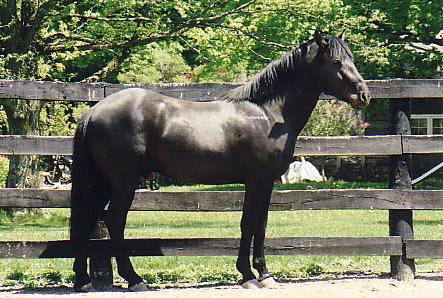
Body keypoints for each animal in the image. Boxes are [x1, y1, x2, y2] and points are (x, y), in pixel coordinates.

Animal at [70, 32, 372, 292]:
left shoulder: (267, 183)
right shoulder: (256, 181)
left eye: (352, 58)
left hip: (104, 182)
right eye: (336, 62)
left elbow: (261, 225)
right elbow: (248, 224)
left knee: (88, 217)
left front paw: (265, 274)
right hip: (123, 182)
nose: (364, 95)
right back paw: (134, 279)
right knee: (114, 220)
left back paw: (83, 280)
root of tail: (94, 111)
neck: (267, 114)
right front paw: (248, 275)